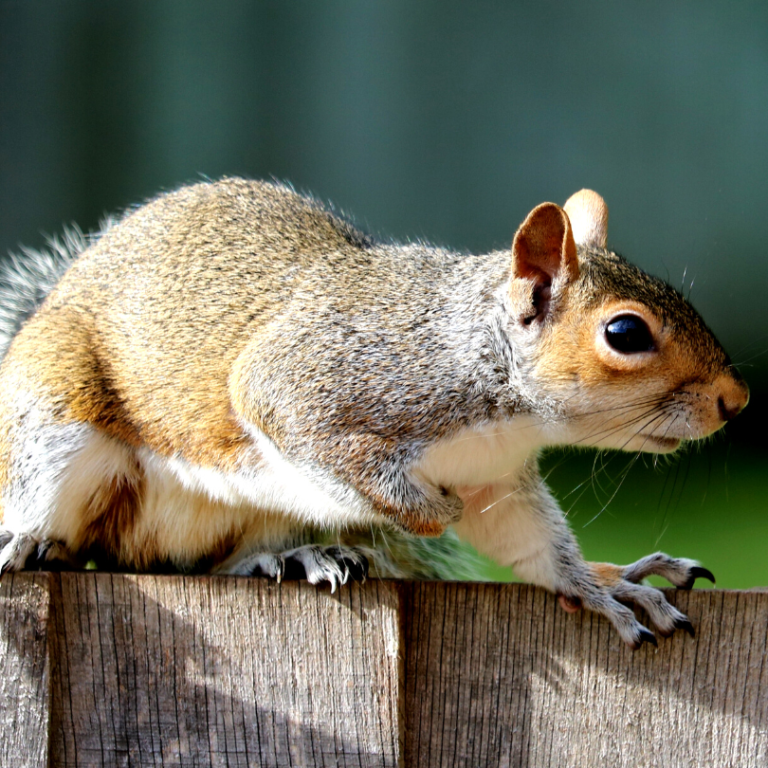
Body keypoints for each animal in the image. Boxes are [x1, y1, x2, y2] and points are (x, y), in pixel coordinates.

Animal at [0, 178, 748, 648]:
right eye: (625, 333)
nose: (735, 400)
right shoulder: (312, 383)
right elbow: (309, 433)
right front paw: (427, 509)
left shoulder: (495, 480)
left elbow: (530, 541)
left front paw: (599, 585)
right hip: (52, 417)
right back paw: (28, 542)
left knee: (200, 566)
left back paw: (292, 555)